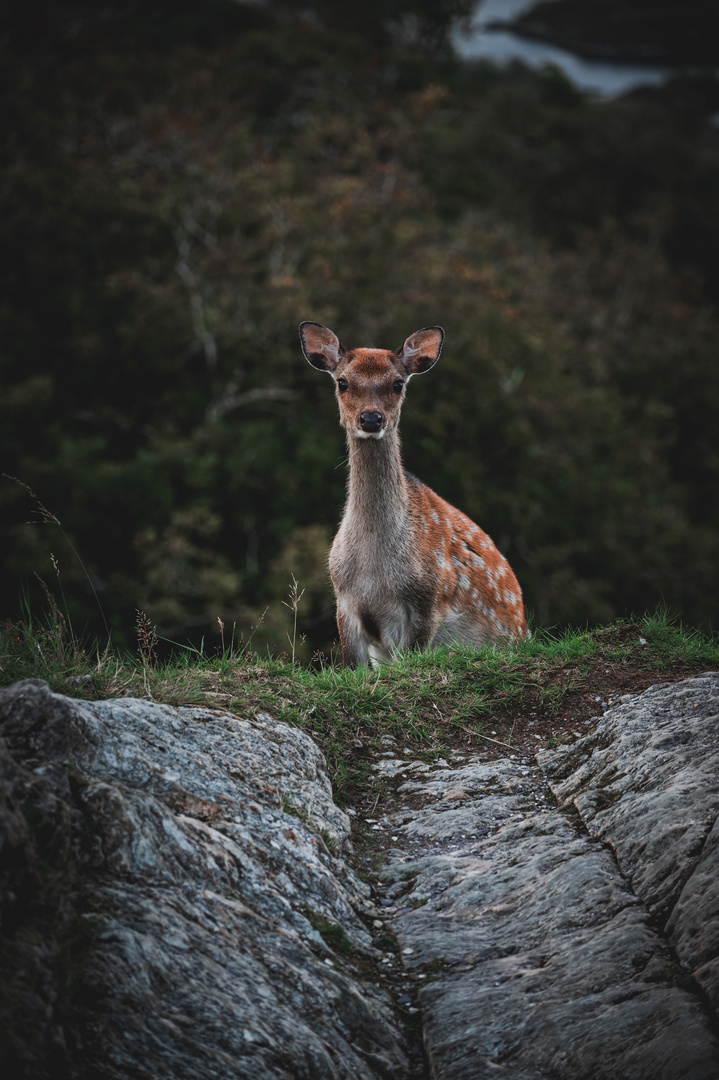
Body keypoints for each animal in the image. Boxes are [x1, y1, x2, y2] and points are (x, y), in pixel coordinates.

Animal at [295, 317, 526, 665]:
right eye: (343, 383)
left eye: (397, 384)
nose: (371, 418)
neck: (375, 574)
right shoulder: (344, 601)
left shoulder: (428, 598)